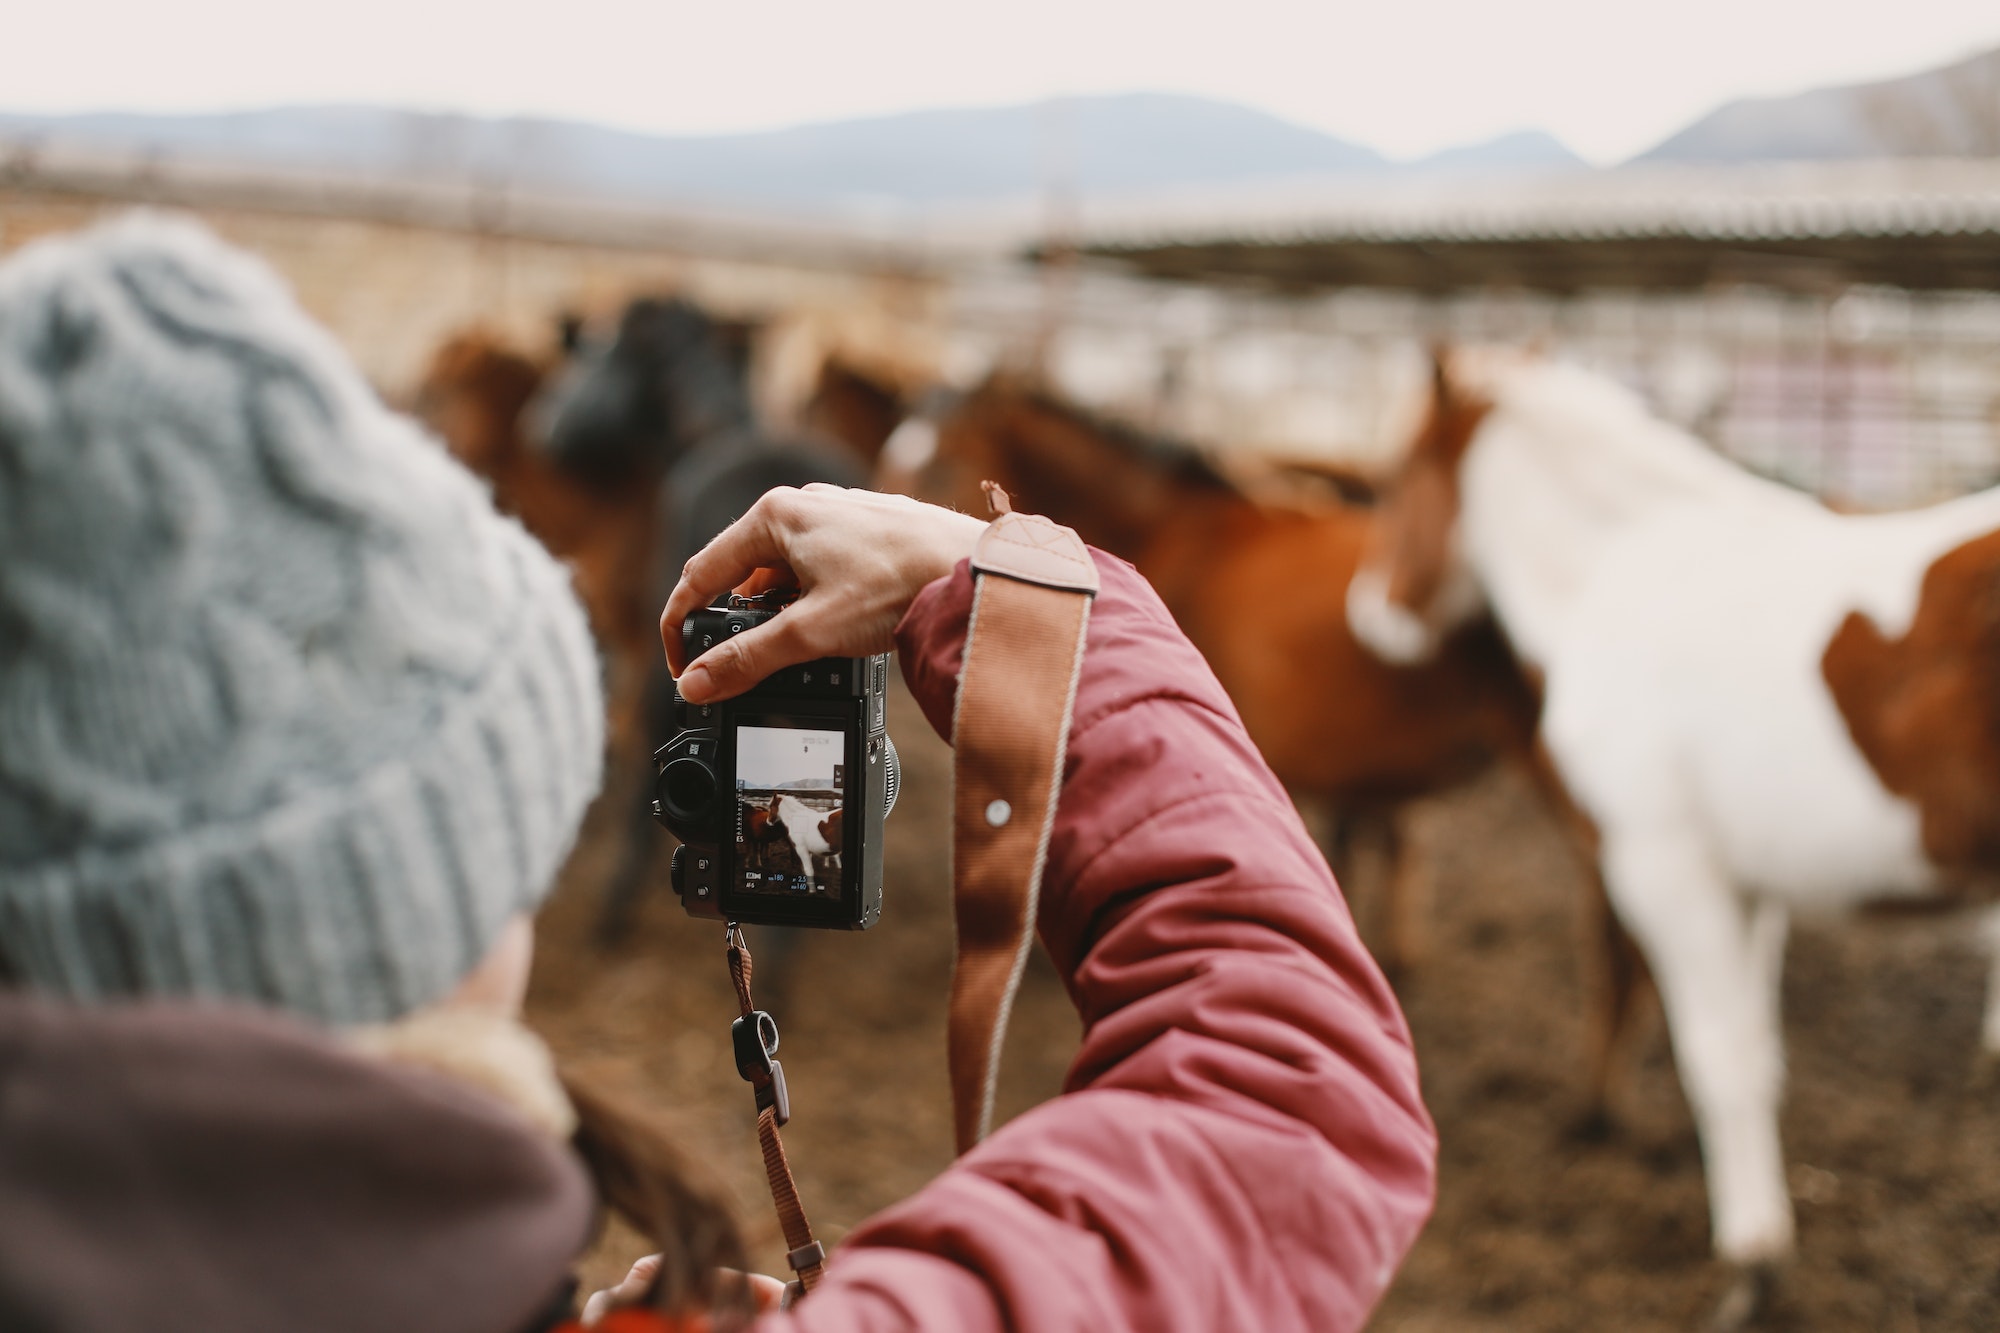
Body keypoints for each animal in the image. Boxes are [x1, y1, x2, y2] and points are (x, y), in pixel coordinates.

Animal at [1352, 342, 2000, 1304]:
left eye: (1397, 480)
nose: (1369, 614)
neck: (1616, 573)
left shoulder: (1666, 868)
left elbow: (1718, 1056)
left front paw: (1755, 1255)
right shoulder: (1750, 882)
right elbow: (1759, 1052)